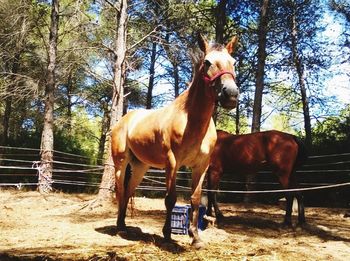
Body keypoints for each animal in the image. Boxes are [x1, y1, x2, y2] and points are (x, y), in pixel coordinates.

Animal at [110, 35, 239, 248]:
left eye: (233, 62)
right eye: (207, 62)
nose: (231, 94)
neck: (191, 120)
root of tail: (124, 120)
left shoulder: (201, 166)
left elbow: (195, 199)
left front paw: (195, 237)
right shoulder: (172, 164)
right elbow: (170, 199)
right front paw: (168, 235)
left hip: (140, 166)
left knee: (128, 191)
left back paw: (123, 224)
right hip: (121, 163)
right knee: (121, 190)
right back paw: (119, 227)